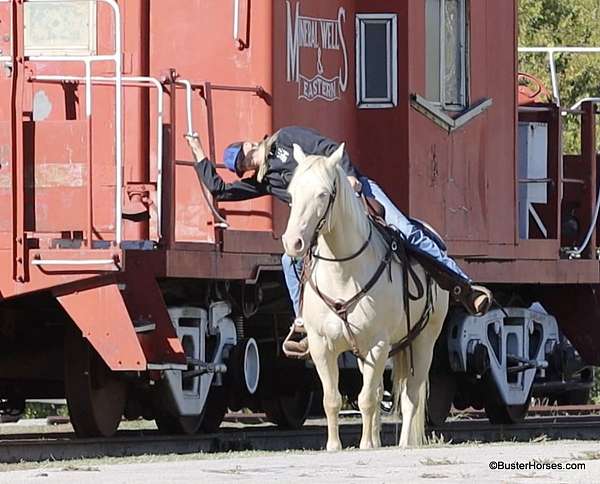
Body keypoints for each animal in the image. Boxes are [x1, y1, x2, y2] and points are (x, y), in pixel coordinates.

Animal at [284, 145, 448, 450]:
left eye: (323, 193)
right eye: (291, 193)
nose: (293, 242)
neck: (343, 273)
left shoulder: (377, 344)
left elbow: (367, 399)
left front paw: (365, 445)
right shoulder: (322, 346)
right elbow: (332, 399)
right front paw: (335, 445)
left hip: (423, 342)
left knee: (410, 397)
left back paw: (404, 443)